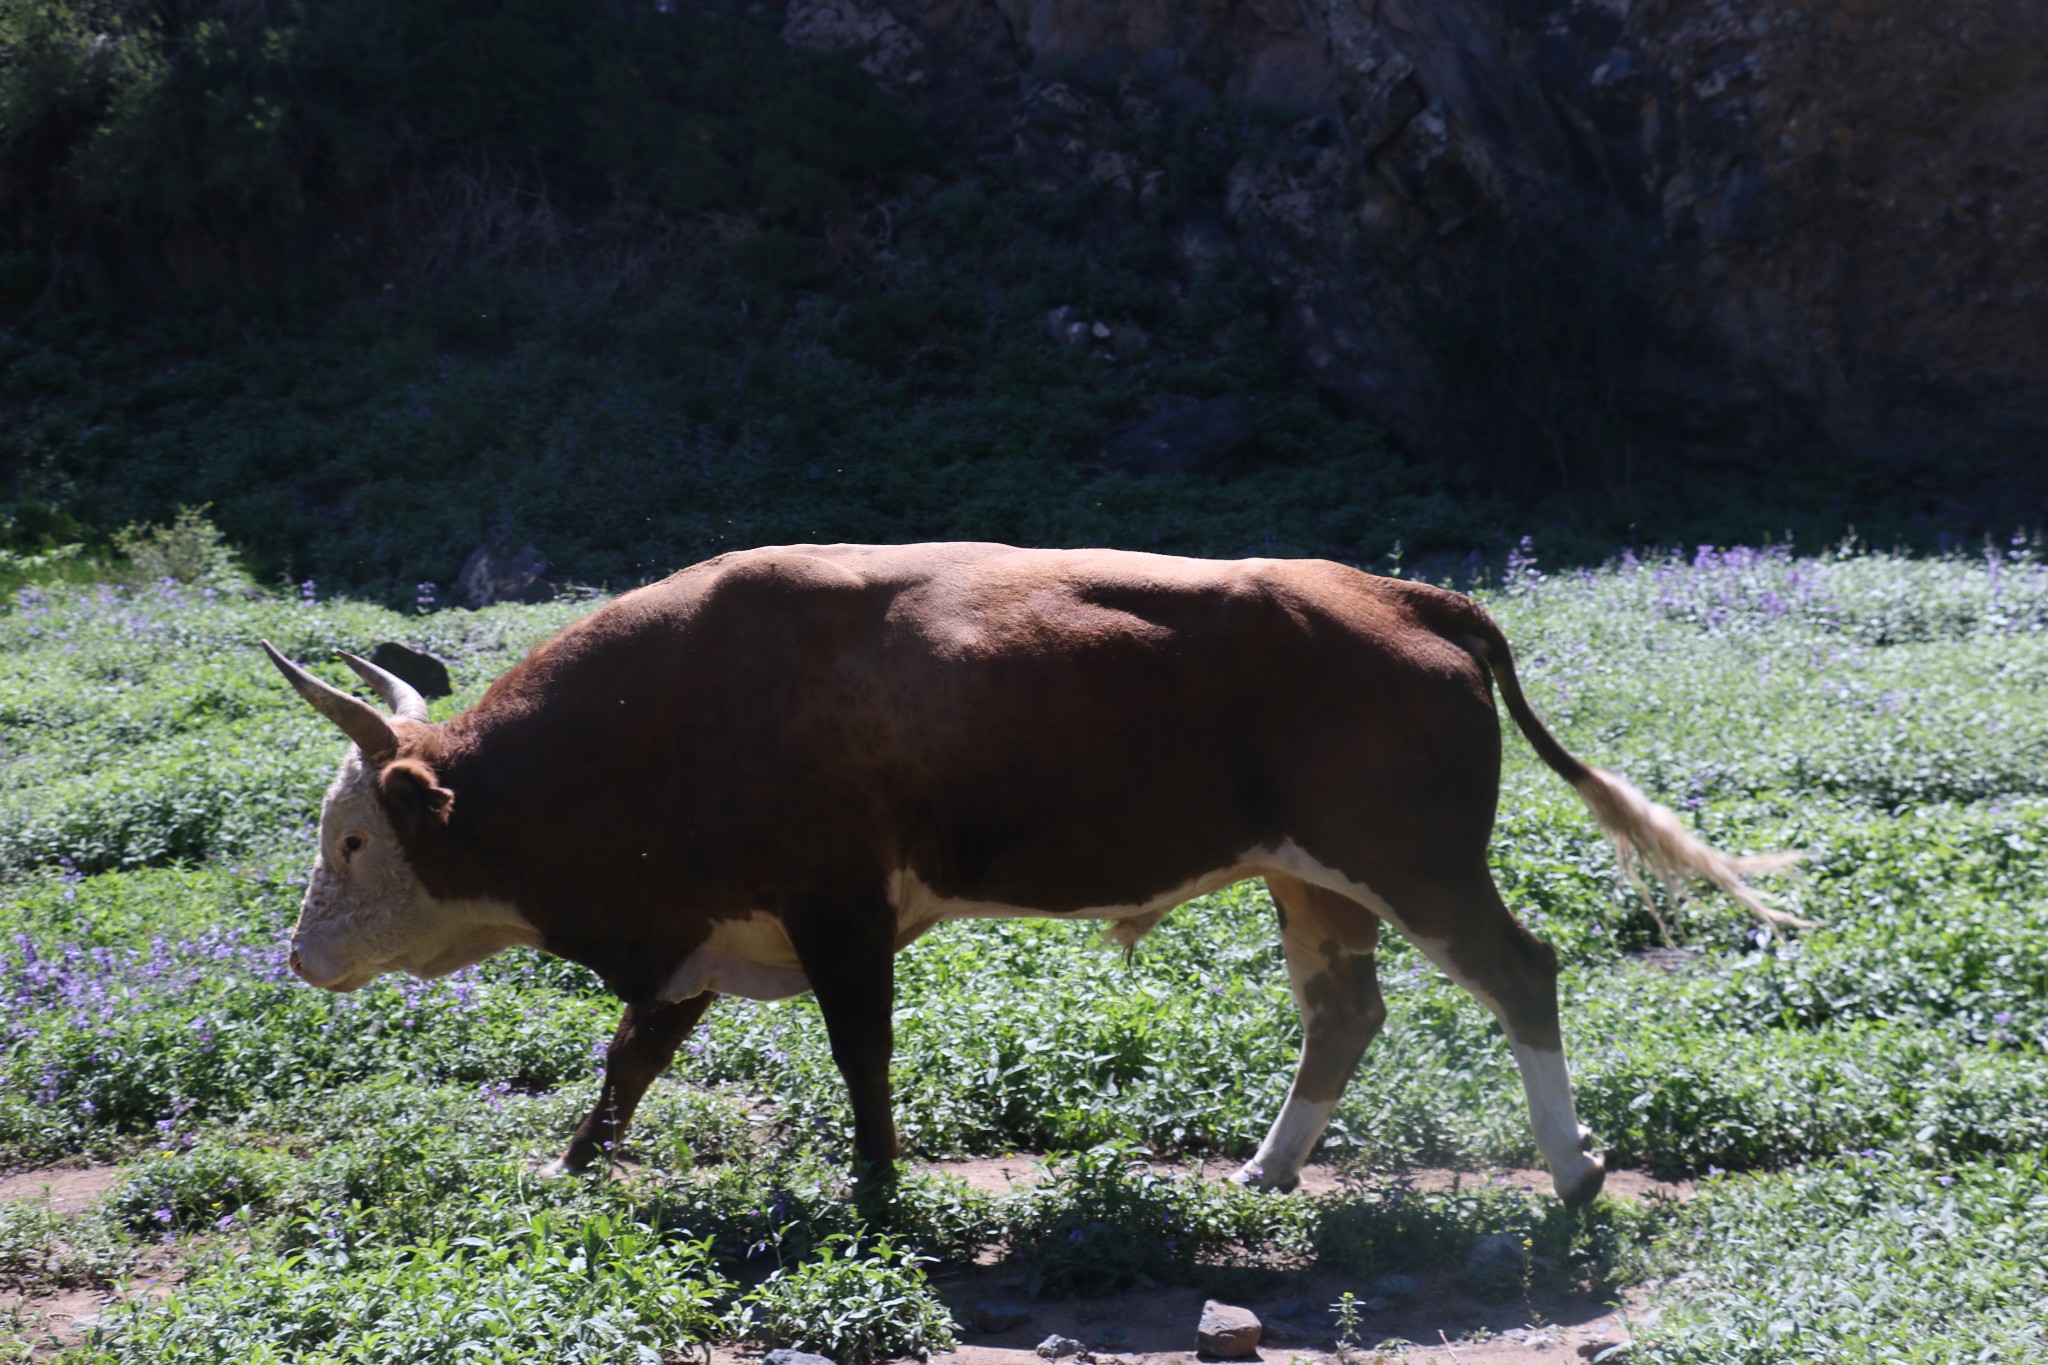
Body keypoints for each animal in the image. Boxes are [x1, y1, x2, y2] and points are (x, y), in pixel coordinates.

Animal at [260, 544, 1794, 1203]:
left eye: (354, 839)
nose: (297, 958)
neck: (688, 700)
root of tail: (1396, 594)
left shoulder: (836, 910)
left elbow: (861, 1054)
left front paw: (877, 1186)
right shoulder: (706, 925)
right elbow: (629, 1058)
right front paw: (574, 1165)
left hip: (1415, 867)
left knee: (1521, 973)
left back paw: (1571, 1170)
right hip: (1313, 881)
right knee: (1343, 1015)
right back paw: (1263, 1170)